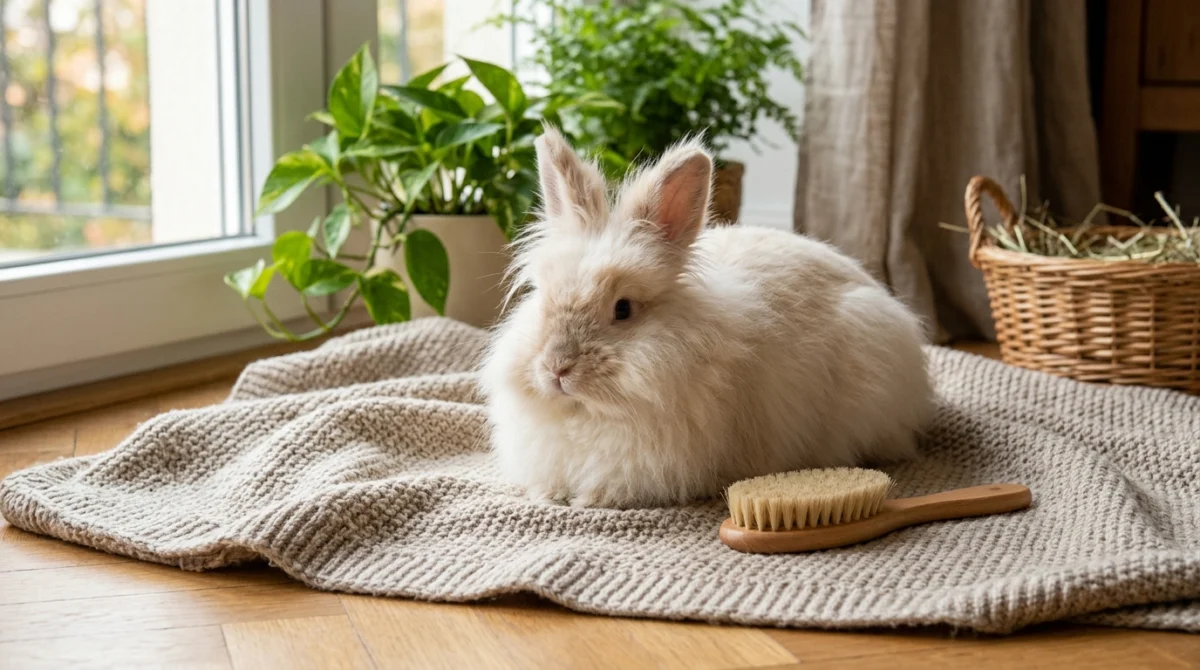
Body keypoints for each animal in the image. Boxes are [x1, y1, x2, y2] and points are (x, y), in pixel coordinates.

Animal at [479, 128, 934, 509]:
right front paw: (547, 494)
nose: (557, 368)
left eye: (623, 309)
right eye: (542, 297)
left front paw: (587, 500)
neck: (586, 414)